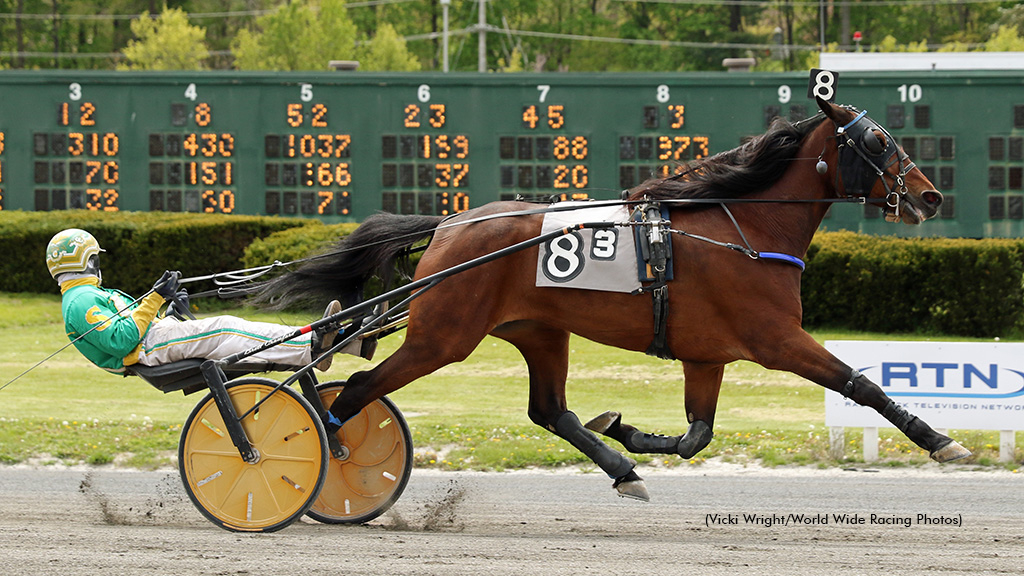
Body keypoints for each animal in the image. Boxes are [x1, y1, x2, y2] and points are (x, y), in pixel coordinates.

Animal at [256, 97, 966, 498]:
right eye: (878, 142)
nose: (930, 196)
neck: (747, 229)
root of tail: (451, 224)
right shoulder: (776, 338)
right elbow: (860, 384)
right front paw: (940, 442)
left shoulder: (707, 355)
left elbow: (696, 435)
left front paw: (624, 429)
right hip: (444, 334)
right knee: (356, 390)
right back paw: (326, 455)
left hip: (539, 330)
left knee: (550, 411)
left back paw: (621, 470)